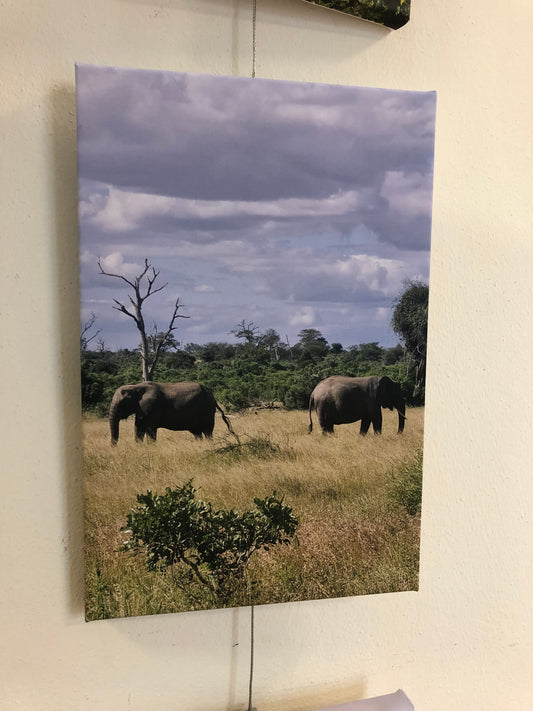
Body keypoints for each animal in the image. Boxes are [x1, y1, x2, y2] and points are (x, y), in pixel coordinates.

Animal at [108, 384, 237, 444]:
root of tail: (213, 397)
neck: (135, 387)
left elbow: (150, 430)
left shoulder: (151, 407)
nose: (113, 447)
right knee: (198, 433)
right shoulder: (141, 409)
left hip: (207, 411)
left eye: (122, 403)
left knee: (207, 432)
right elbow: (138, 429)